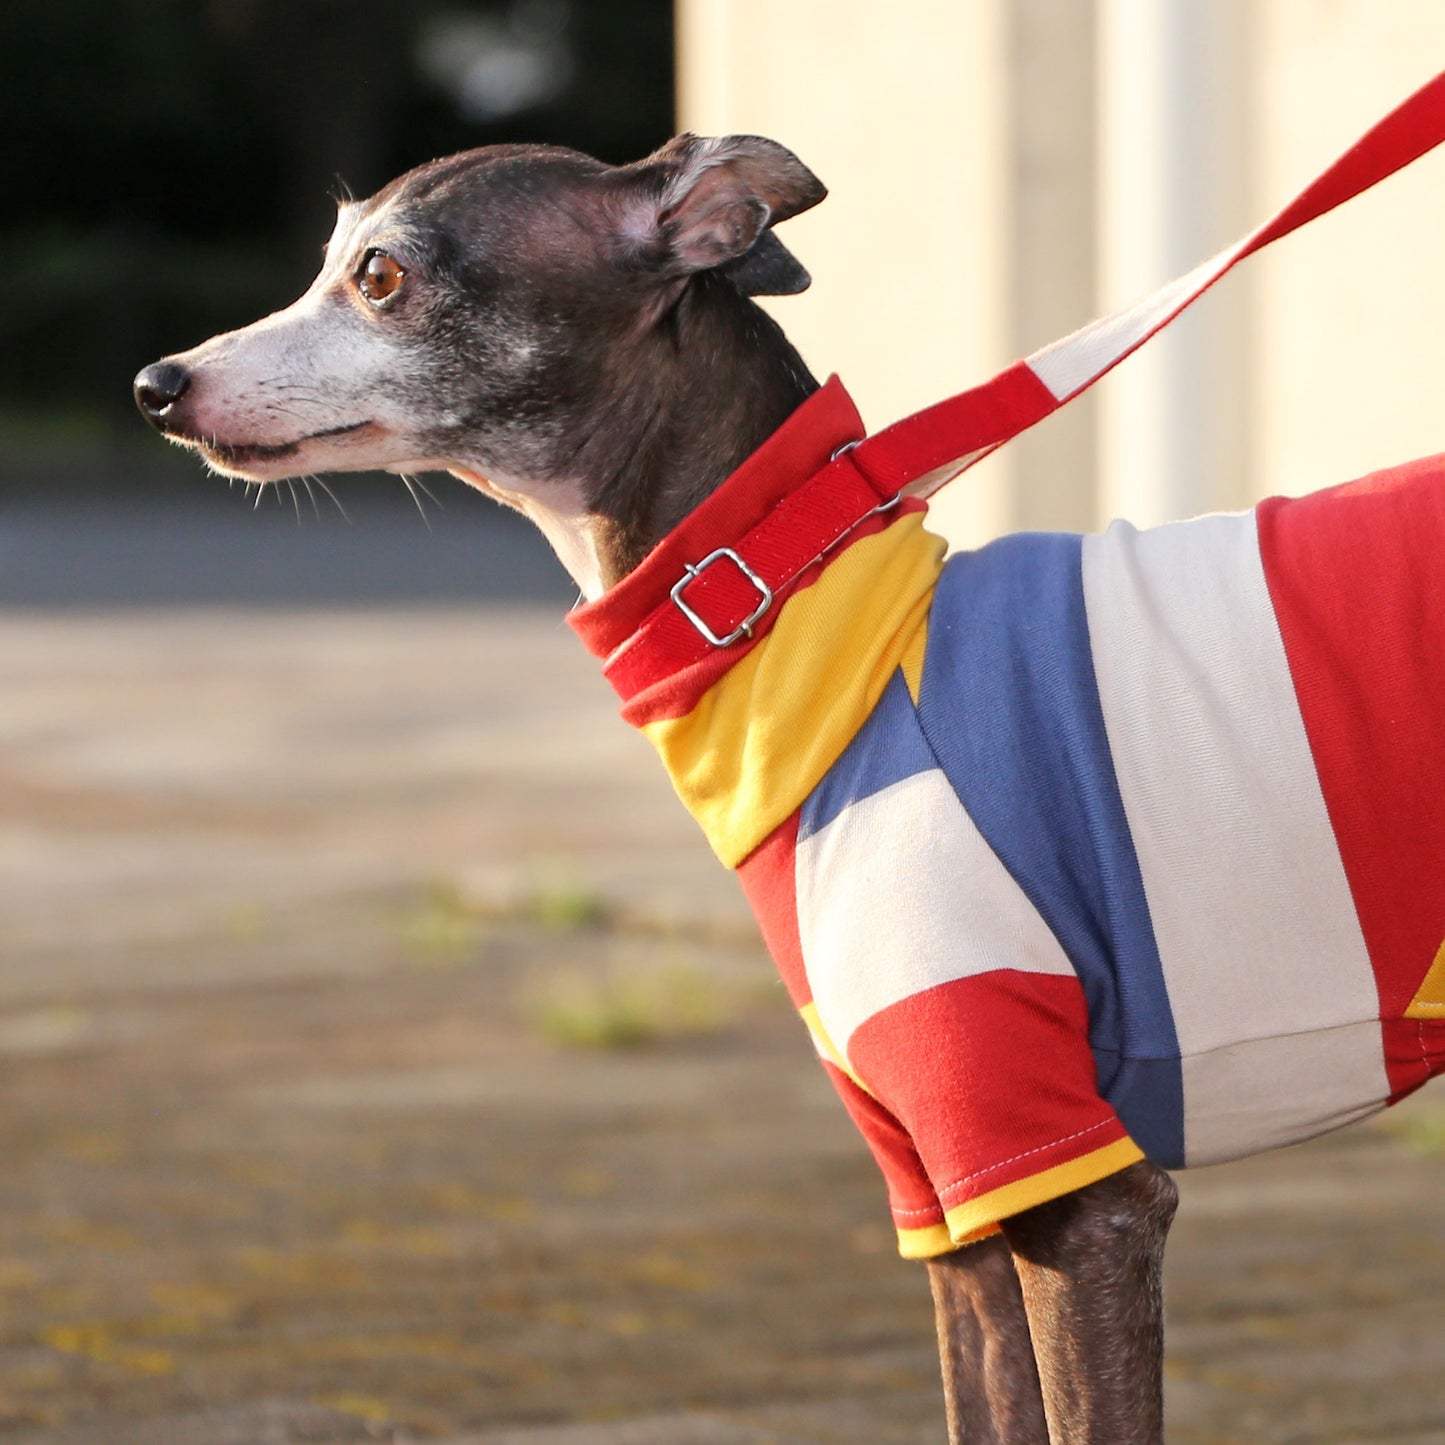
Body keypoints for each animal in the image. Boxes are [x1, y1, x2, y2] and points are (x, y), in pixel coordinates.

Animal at [135, 132, 1445, 1433]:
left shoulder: (1073, 1185)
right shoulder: (950, 1204)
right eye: (331, 258)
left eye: (381, 275)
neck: (801, 611)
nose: (157, 383)